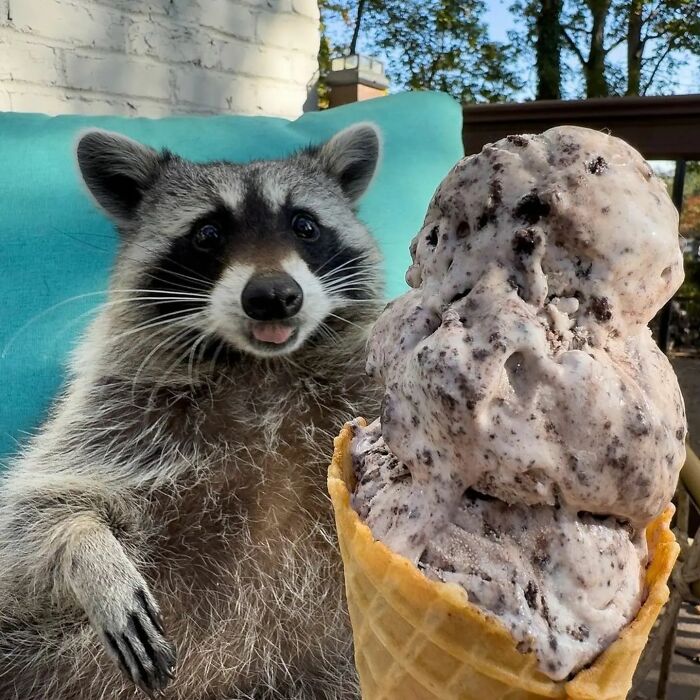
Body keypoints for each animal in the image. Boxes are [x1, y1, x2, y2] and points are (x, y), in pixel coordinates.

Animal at [0, 123, 384, 700]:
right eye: (207, 233)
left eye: (305, 225)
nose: (274, 296)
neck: (260, 370)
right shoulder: (112, 410)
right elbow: (32, 515)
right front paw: (87, 550)